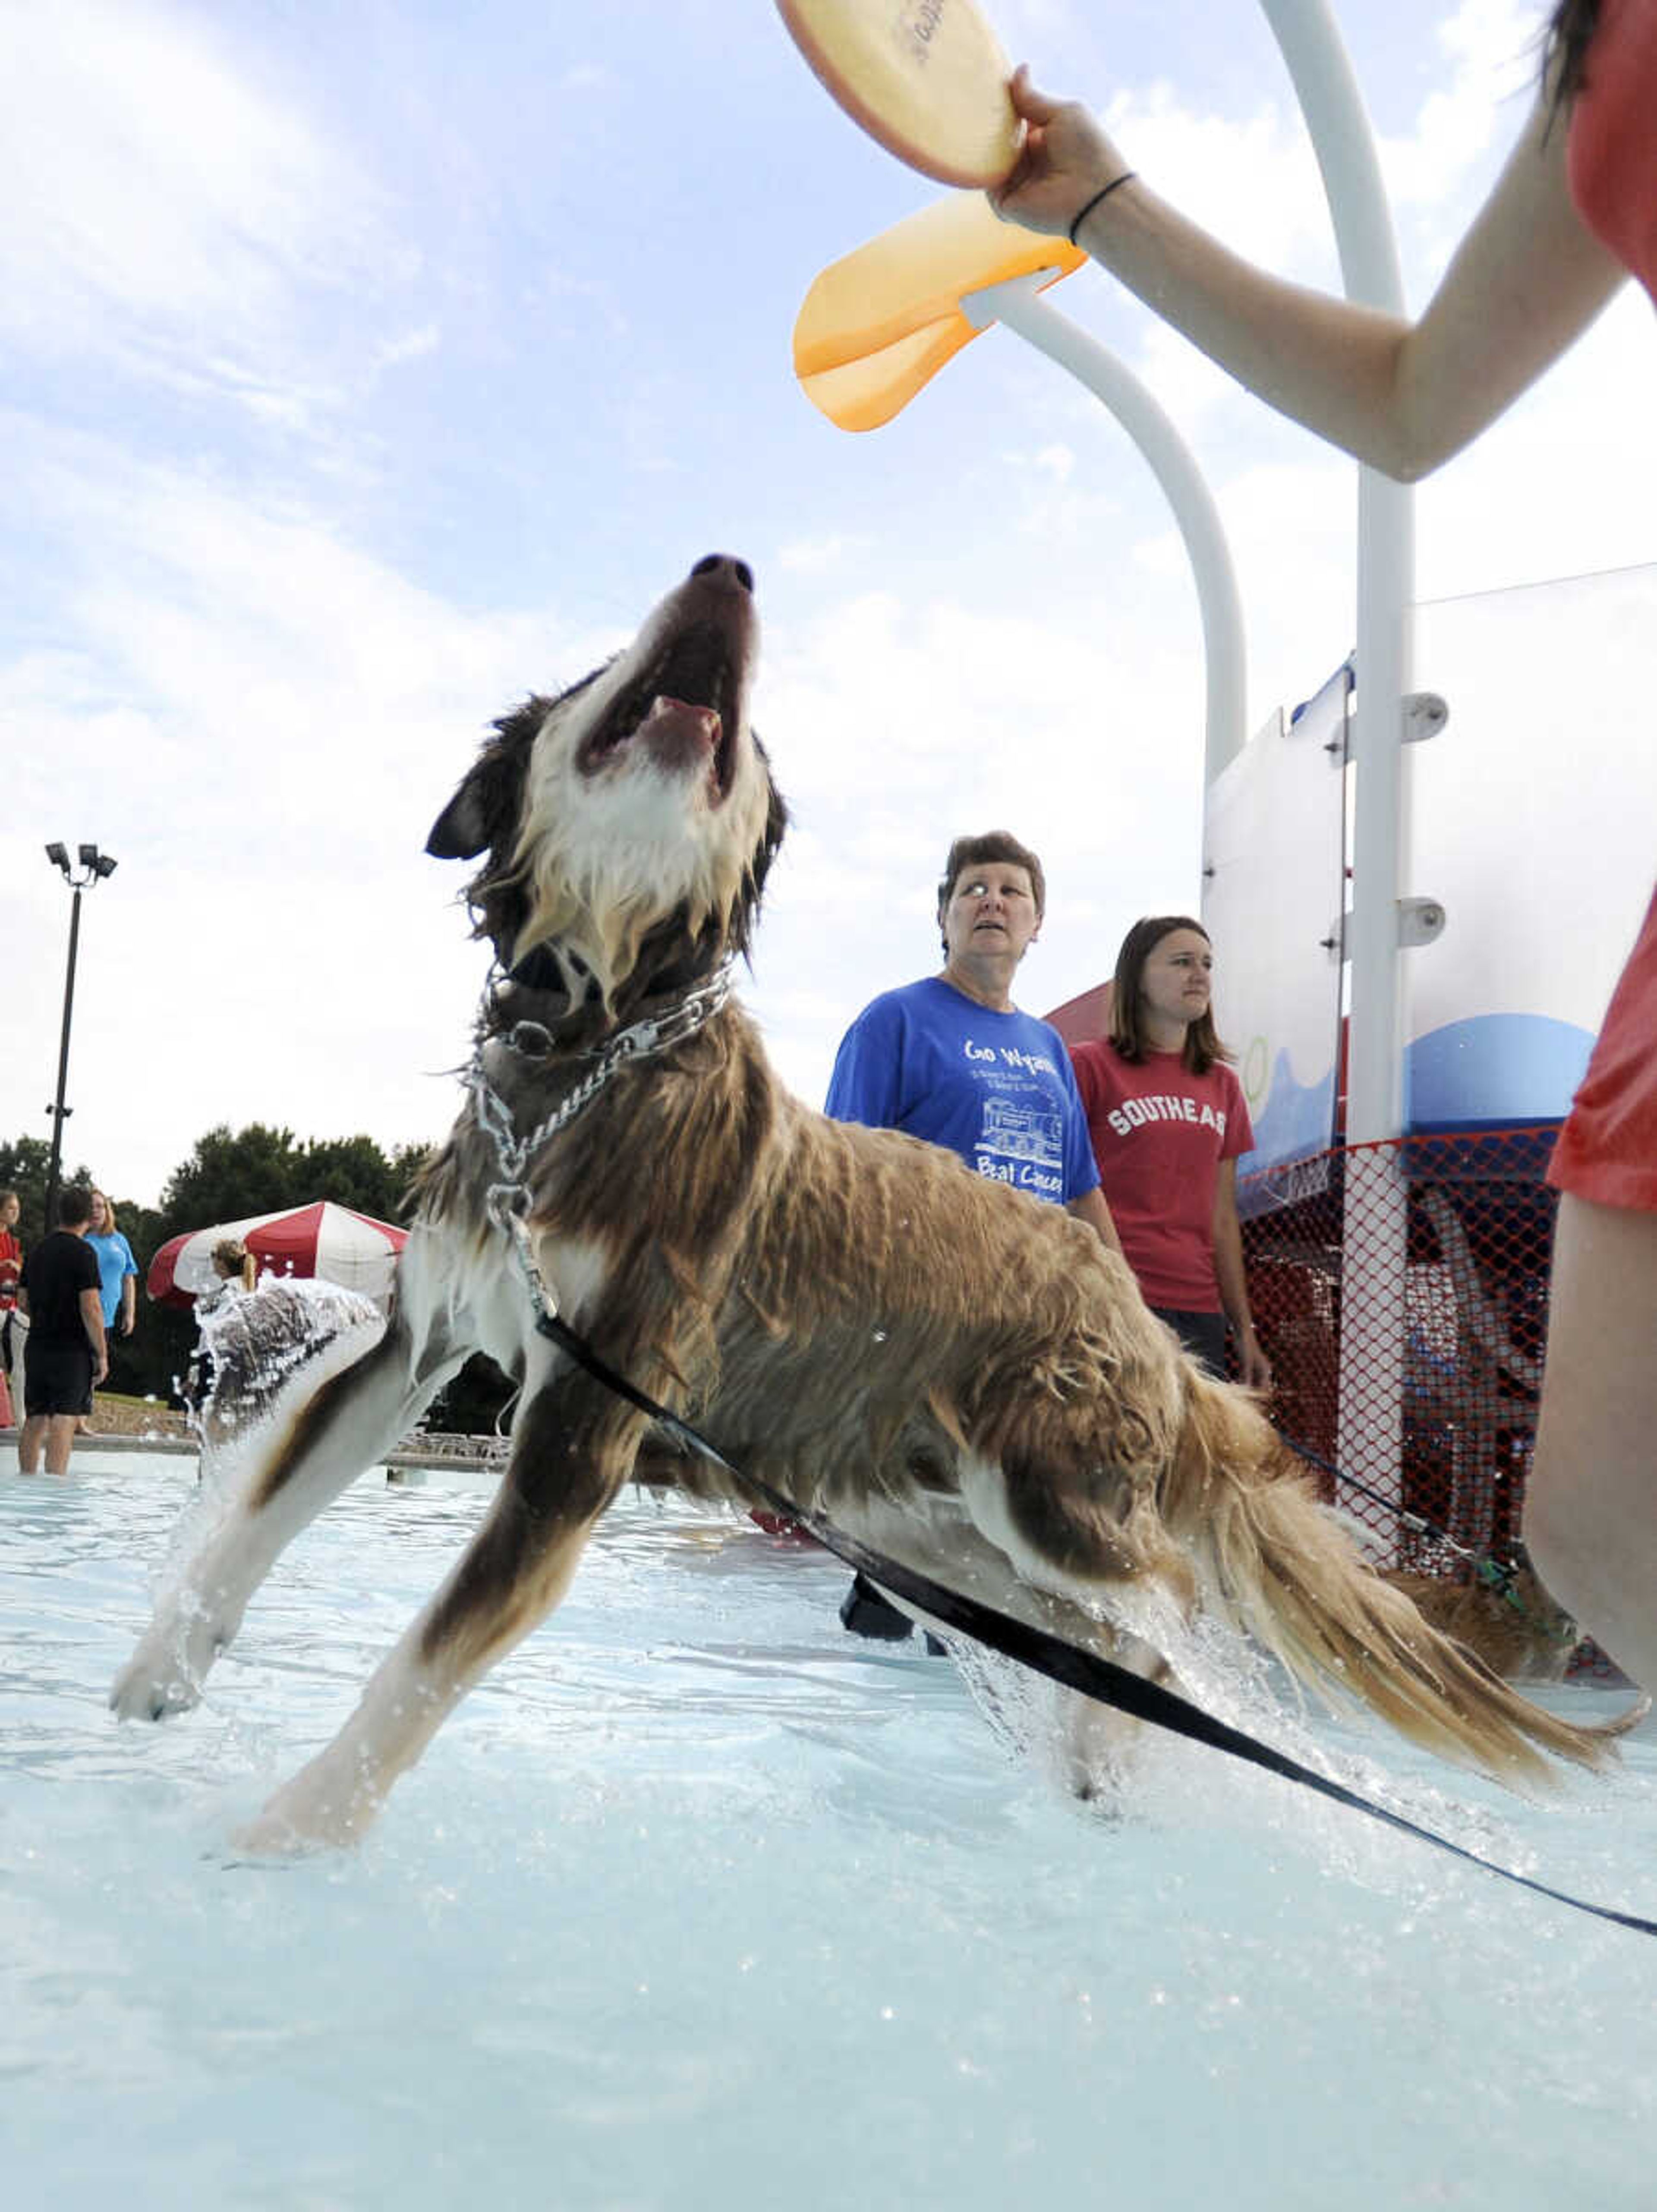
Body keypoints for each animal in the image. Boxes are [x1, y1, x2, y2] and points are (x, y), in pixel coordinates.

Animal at [110, 557, 1637, 1849]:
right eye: (604, 660)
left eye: (756, 746)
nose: (725, 571)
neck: (588, 1038)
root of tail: (1139, 1312)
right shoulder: (417, 1336)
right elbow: (266, 1505)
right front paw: (156, 1673)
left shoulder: (587, 1412)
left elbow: (425, 1656)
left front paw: (291, 1831)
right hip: (928, 1525)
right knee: (1091, 1624)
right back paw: (1089, 1749)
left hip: (1043, 1486)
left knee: (1162, 1597)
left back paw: (1111, 1737)